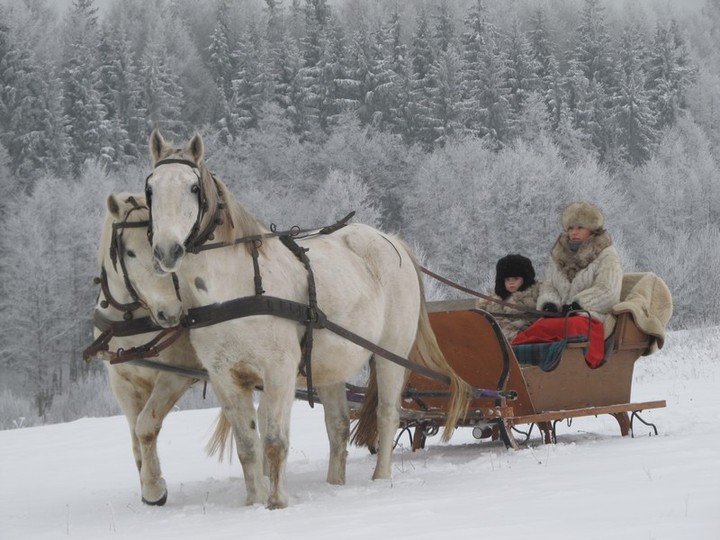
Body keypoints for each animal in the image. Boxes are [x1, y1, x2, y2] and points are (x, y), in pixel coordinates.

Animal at [92, 194, 202, 506]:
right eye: (129, 252)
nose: (171, 312)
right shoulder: (122, 380)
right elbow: (133, 435)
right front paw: (146, 480)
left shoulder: (175, 375)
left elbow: (145, 427)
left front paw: (154, 488)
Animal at [143, 129, 470, 508]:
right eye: (150, 189)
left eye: (194, 187)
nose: (166, 251)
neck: (233, 290)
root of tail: (393, 240)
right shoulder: (227, 377)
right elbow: (248, 447)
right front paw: (253, 503)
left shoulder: (279, 370)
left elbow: (274, 442)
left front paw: (276, 503)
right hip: (331, 363)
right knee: (338, 425)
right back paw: (334, 485)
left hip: (391, 355)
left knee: (388, 414)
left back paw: (381, 478)